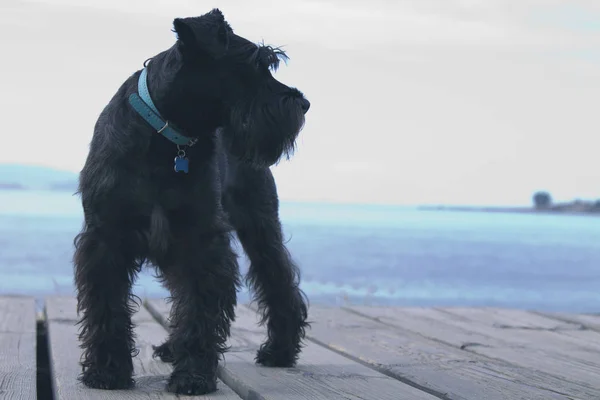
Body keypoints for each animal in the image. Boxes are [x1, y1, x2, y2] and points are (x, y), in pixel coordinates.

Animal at [72, 7, 310, 396]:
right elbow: (107, 306)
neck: (166, 135)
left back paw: (280, 350)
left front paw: (193, 375)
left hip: (259, 226)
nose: (304, 103)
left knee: (278, 280)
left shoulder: (201, 239)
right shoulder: (106, 237)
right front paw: (107, 371)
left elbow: (200, 306)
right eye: (256, 64)